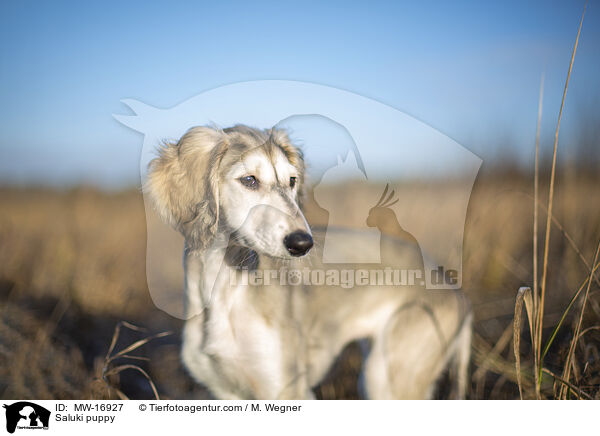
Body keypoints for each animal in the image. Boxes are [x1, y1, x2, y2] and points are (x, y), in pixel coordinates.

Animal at [146, 124, 474, 400]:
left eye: (291, 181)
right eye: (249, 180)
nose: (302, 243)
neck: (225, 289)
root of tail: (452, 287)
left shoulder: (286, 388)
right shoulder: (227, 391)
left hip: (388, 377)